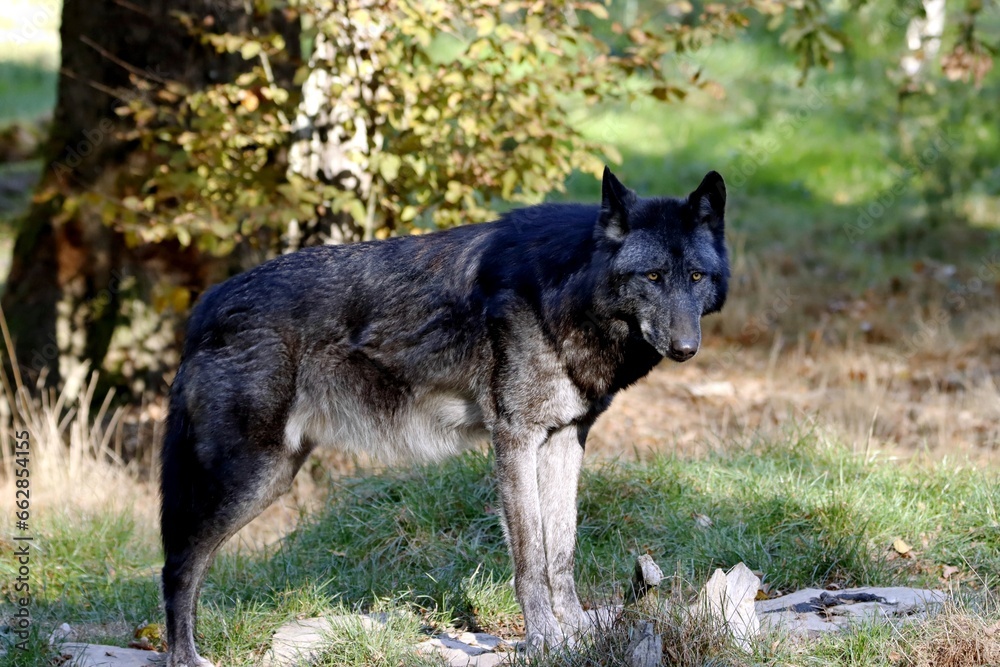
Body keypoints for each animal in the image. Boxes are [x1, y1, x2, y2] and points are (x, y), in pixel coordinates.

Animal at [160, 167, 729, 666]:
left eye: (696, 276)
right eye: (652, 276)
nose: (686, 348)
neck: (568, 291)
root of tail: (207, 305)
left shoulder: (565, 439)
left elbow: (561, 554)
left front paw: (577, 635)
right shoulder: (514, 440)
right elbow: (530, 558)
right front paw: (544, 642)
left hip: (270, 475)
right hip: (251, 478)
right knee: (178, 563)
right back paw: (185, 657)